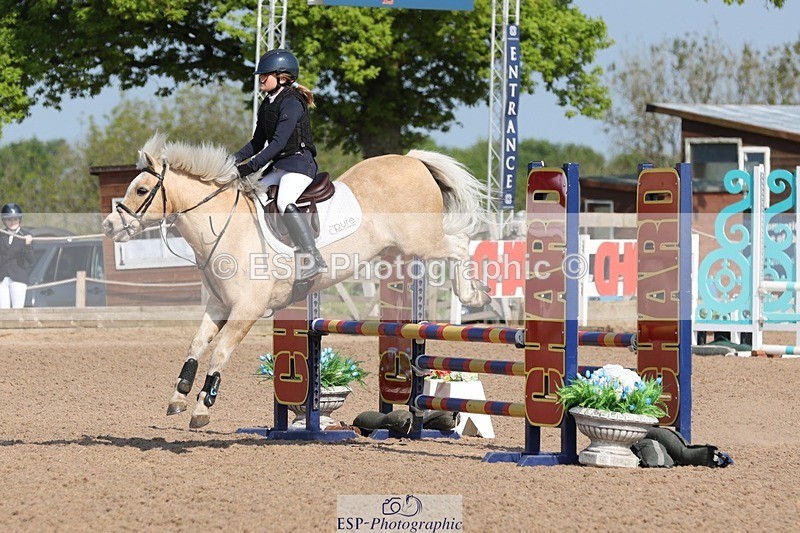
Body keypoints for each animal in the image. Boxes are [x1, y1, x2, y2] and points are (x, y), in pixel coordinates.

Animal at [102, 133, 492, 429]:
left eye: (141, 191)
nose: (109, 226)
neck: (223, 227)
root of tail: (412, 160)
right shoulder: (219, 306)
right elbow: (196, 346)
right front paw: (178, 397)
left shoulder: (246, 309)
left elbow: (220, 352)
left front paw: (201, 408)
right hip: (402, 249)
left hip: (421, 241)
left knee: (459, 244)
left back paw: (474, 295)